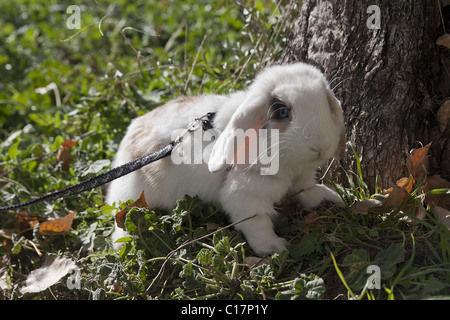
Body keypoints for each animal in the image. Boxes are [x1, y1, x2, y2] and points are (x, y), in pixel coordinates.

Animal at [107, 62, 346, 255]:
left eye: (326, 103)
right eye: (282, 112)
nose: (321, 146)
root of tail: (128, 136)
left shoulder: (301, 180)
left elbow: (309, 193)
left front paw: (334, 198)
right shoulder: (245, 195)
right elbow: (257, 223)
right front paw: (274, 248)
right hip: (133, 197)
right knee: (122, 221)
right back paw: (123, 244)